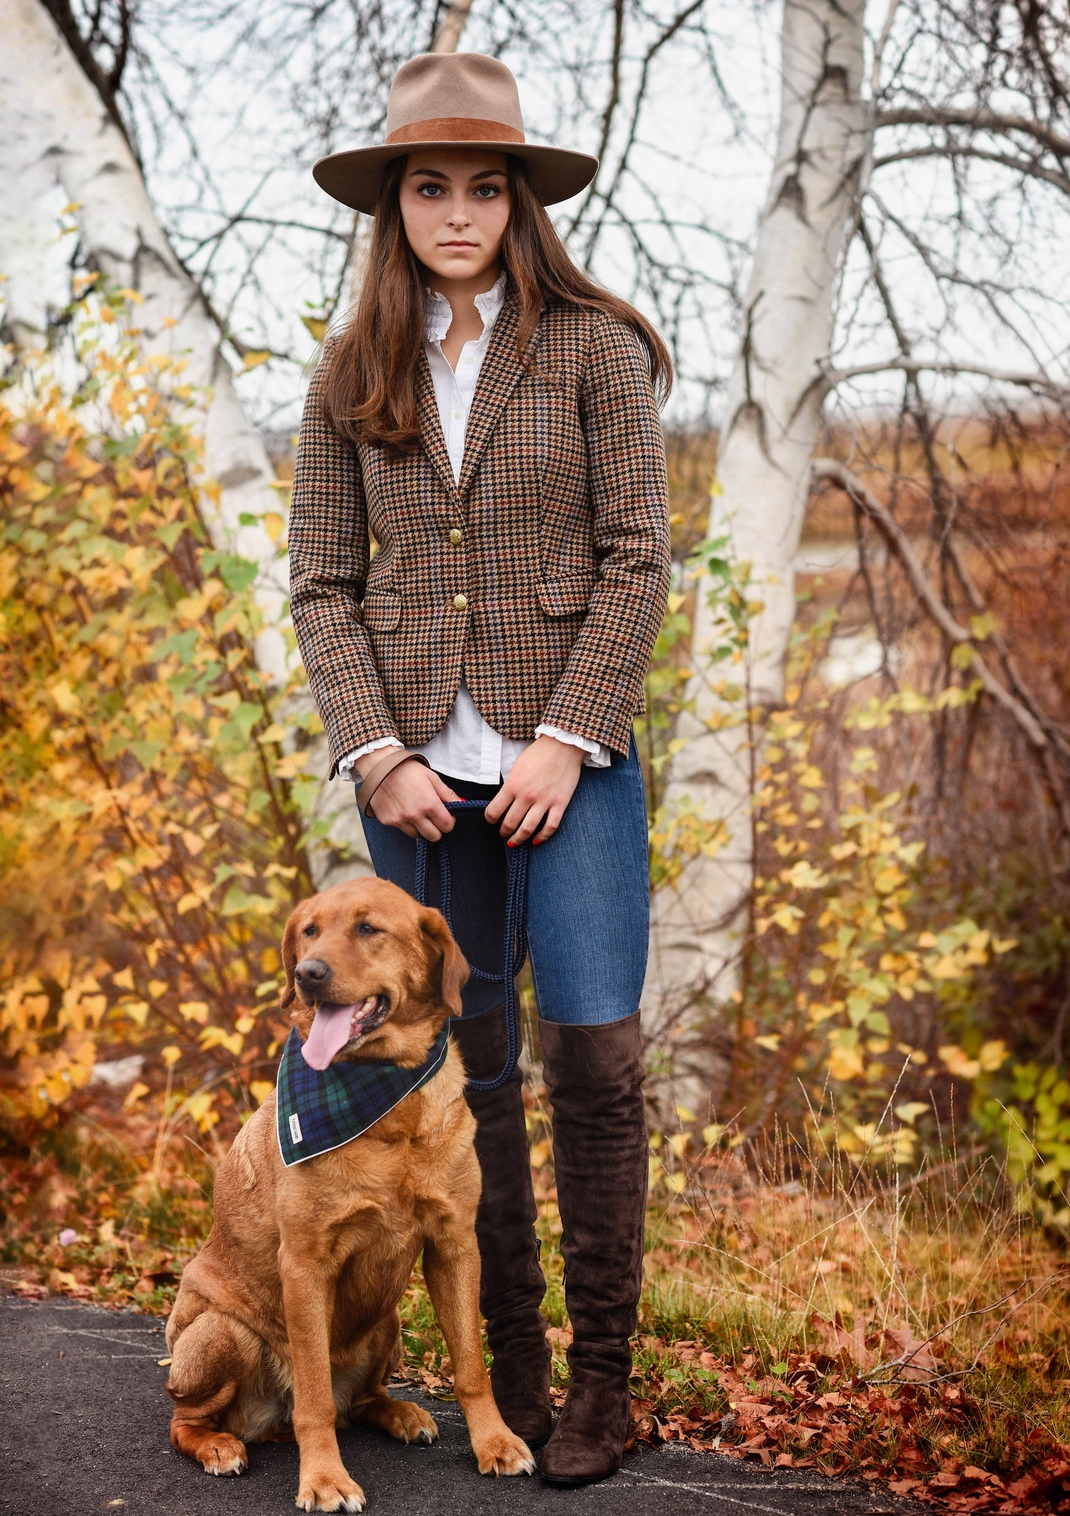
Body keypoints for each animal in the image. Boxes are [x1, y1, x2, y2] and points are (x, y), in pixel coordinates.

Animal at [163, 873, 533, 1509]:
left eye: (368, 928)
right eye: (309, 930)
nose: (307, 973)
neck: (389, 1107)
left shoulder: (455, 1243)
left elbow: (470, 1366)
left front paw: (495, 1442)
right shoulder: (306, 1263)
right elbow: (312, 1397)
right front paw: (325, 1479)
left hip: (386, 1318)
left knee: (358, 1403)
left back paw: (400, 1413)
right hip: (221, 1333)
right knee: (191, 1419)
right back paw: (218, 1446)